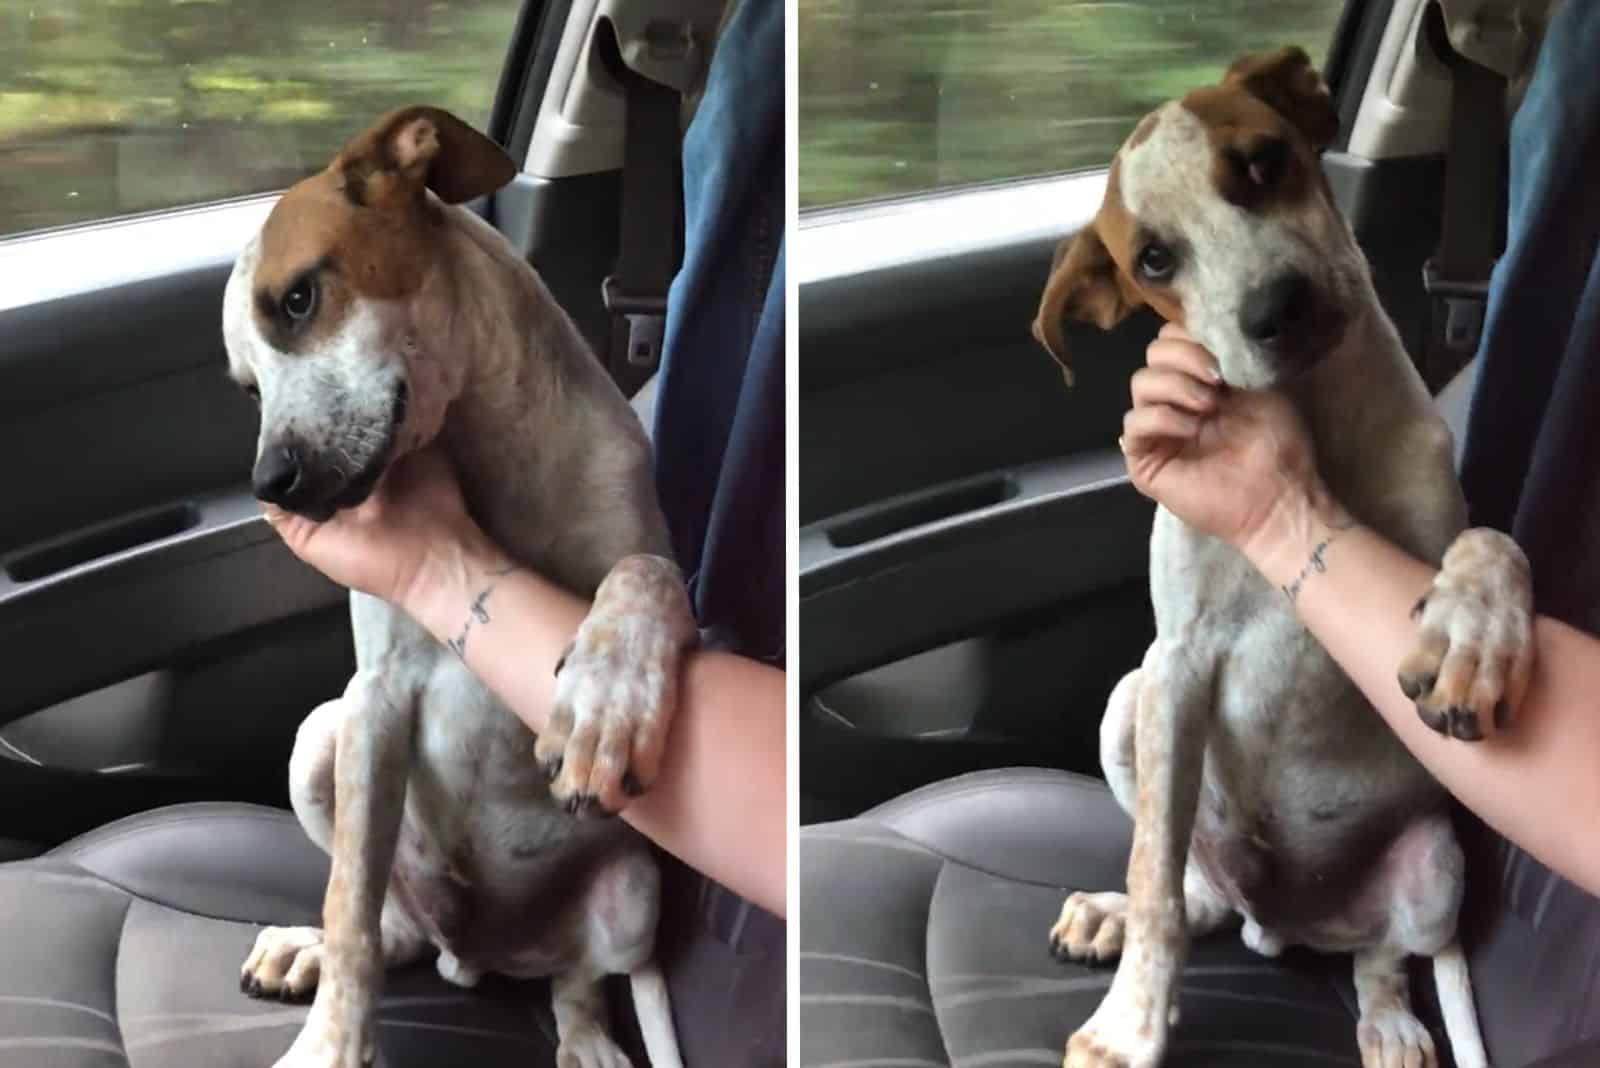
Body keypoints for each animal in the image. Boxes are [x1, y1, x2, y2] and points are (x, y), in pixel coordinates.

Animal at [222, 106, 697, 1068]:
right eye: (247, 387)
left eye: (299, 300)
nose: (270, 483)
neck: (481, 463)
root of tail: (481, 955)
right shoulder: (374, 704)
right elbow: (351, 906)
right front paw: (333, 1040)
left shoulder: (663, 570)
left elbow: (645, 576)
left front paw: (609, 698)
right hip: (319, 741)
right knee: (394, 925)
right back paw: (309, 950)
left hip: (635, 891)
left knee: (580, 979)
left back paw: (586, 1038)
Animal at [1030, 47, 1529, 1068]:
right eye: (1153, 259)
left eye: (1263, 164)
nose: (1277, 309)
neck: (1317, 421)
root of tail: (1287, 924)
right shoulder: (1176, 665)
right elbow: (1154, 878)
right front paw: (1130, 1026)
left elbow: (1485, 541)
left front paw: (1480, 634)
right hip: (1128, 706)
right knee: (1197, 893)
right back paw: (1116, 915)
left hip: (1436, 865)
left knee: (1381, 954)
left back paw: (1389, 1023)